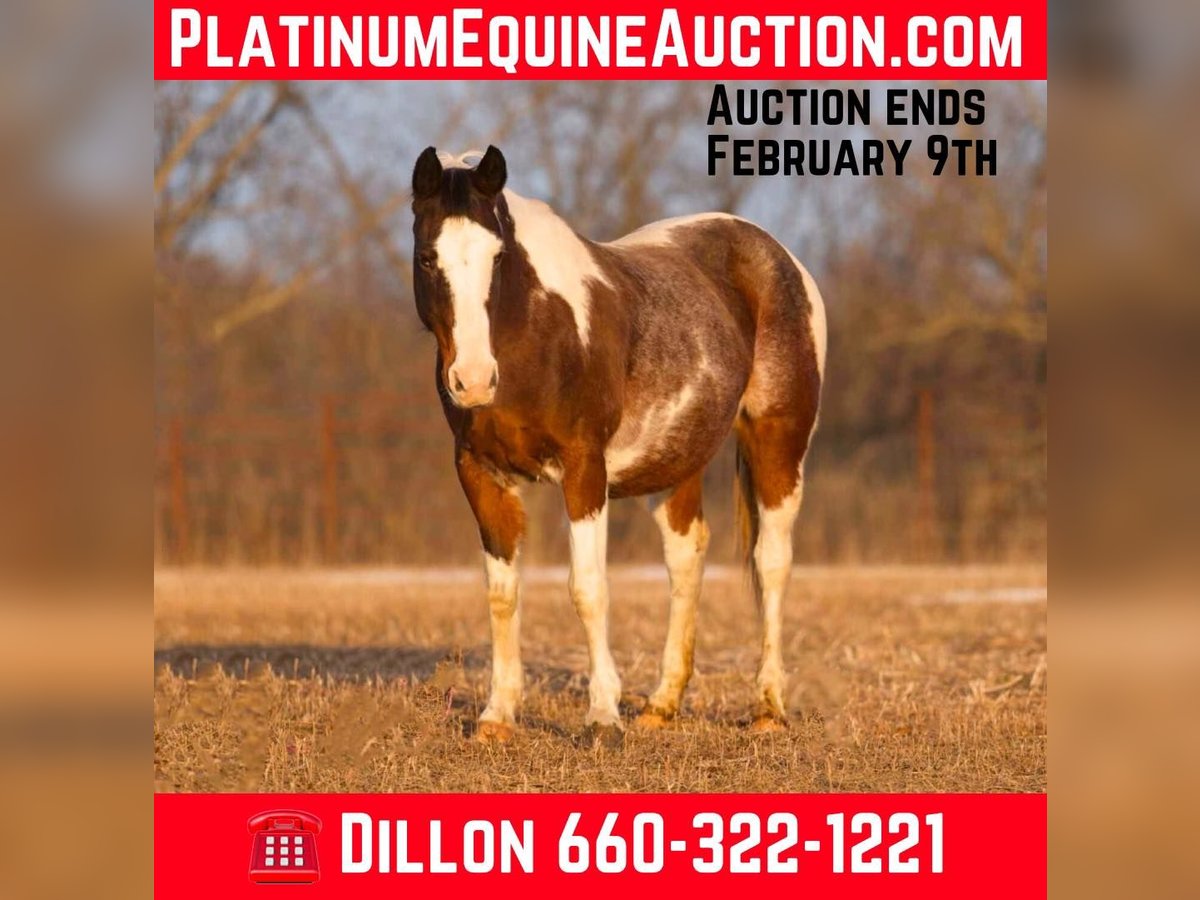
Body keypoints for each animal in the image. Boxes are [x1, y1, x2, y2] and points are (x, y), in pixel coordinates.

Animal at [410, 145, 826, 744]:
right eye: (427, 257)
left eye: (497, 257)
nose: (472, 379)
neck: (538, 333)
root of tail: (778, 254)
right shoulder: (480, 473)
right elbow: (502, 593)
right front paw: (497, 716)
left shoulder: (585, 470)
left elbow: (587, 588)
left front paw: (603, 717)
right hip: (677, 461)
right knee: (686, 556)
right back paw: (662, 703)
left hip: (779, 444)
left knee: (771, 561)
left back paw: (768, 707)